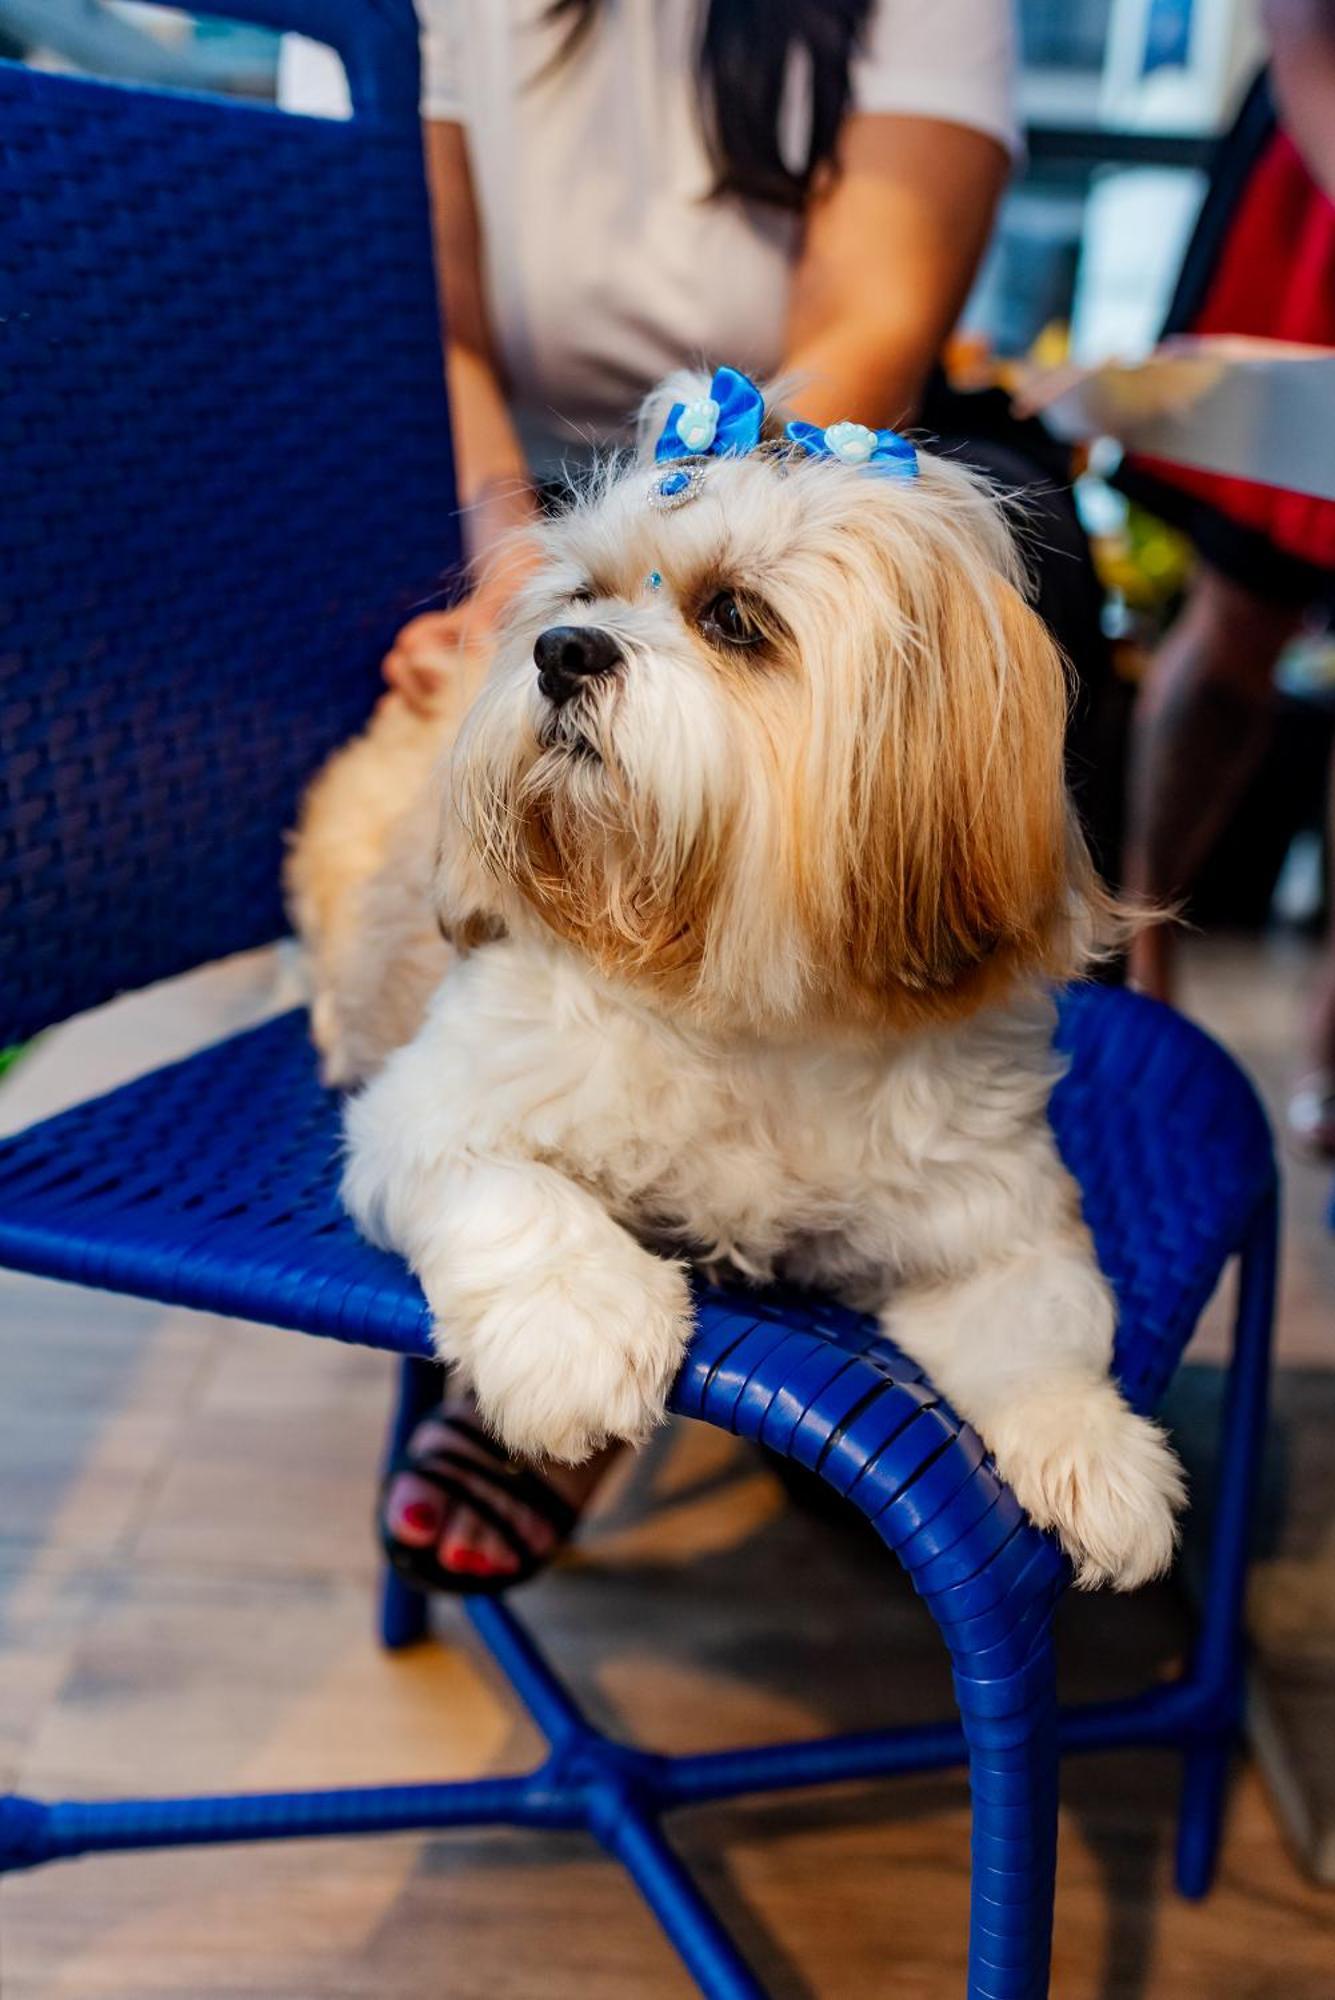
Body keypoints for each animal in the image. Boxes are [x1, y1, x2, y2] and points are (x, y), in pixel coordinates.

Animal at [289, 364, 1175, 1592]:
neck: (728, 992)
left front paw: (1096, 1451)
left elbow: (1043, 1326)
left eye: (734, 618)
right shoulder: (431, 1112)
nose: (562, 649)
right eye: (585, 593)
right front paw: (580, 1337)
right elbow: (521, 1204)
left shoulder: (991, 1212)